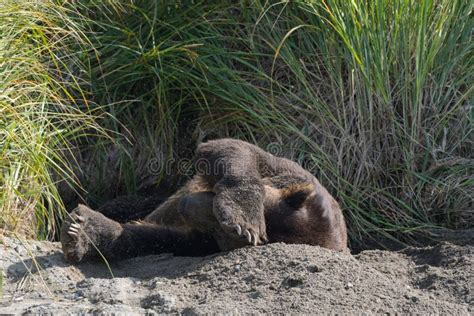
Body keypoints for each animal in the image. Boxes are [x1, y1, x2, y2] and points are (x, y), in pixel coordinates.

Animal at [61, 138, 346, 262]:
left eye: (220, 232)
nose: (190, 207)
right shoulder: (287, 170)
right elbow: (232, 150)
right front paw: (244, 217)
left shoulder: (201, 243)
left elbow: (162, 239)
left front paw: (87, 233)